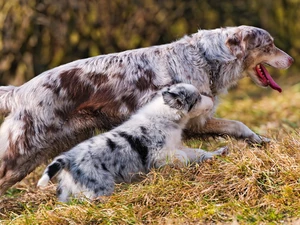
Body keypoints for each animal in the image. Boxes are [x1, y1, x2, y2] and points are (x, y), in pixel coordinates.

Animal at [38, 83, 229, 202]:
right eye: (197, 99)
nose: (212, 99)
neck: (167, 115)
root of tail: (67, 158)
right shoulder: (161, 154)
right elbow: (181, 157)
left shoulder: (176, 145)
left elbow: (197, 153)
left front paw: (219, 152)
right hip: (98, 188)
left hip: (67, 191)